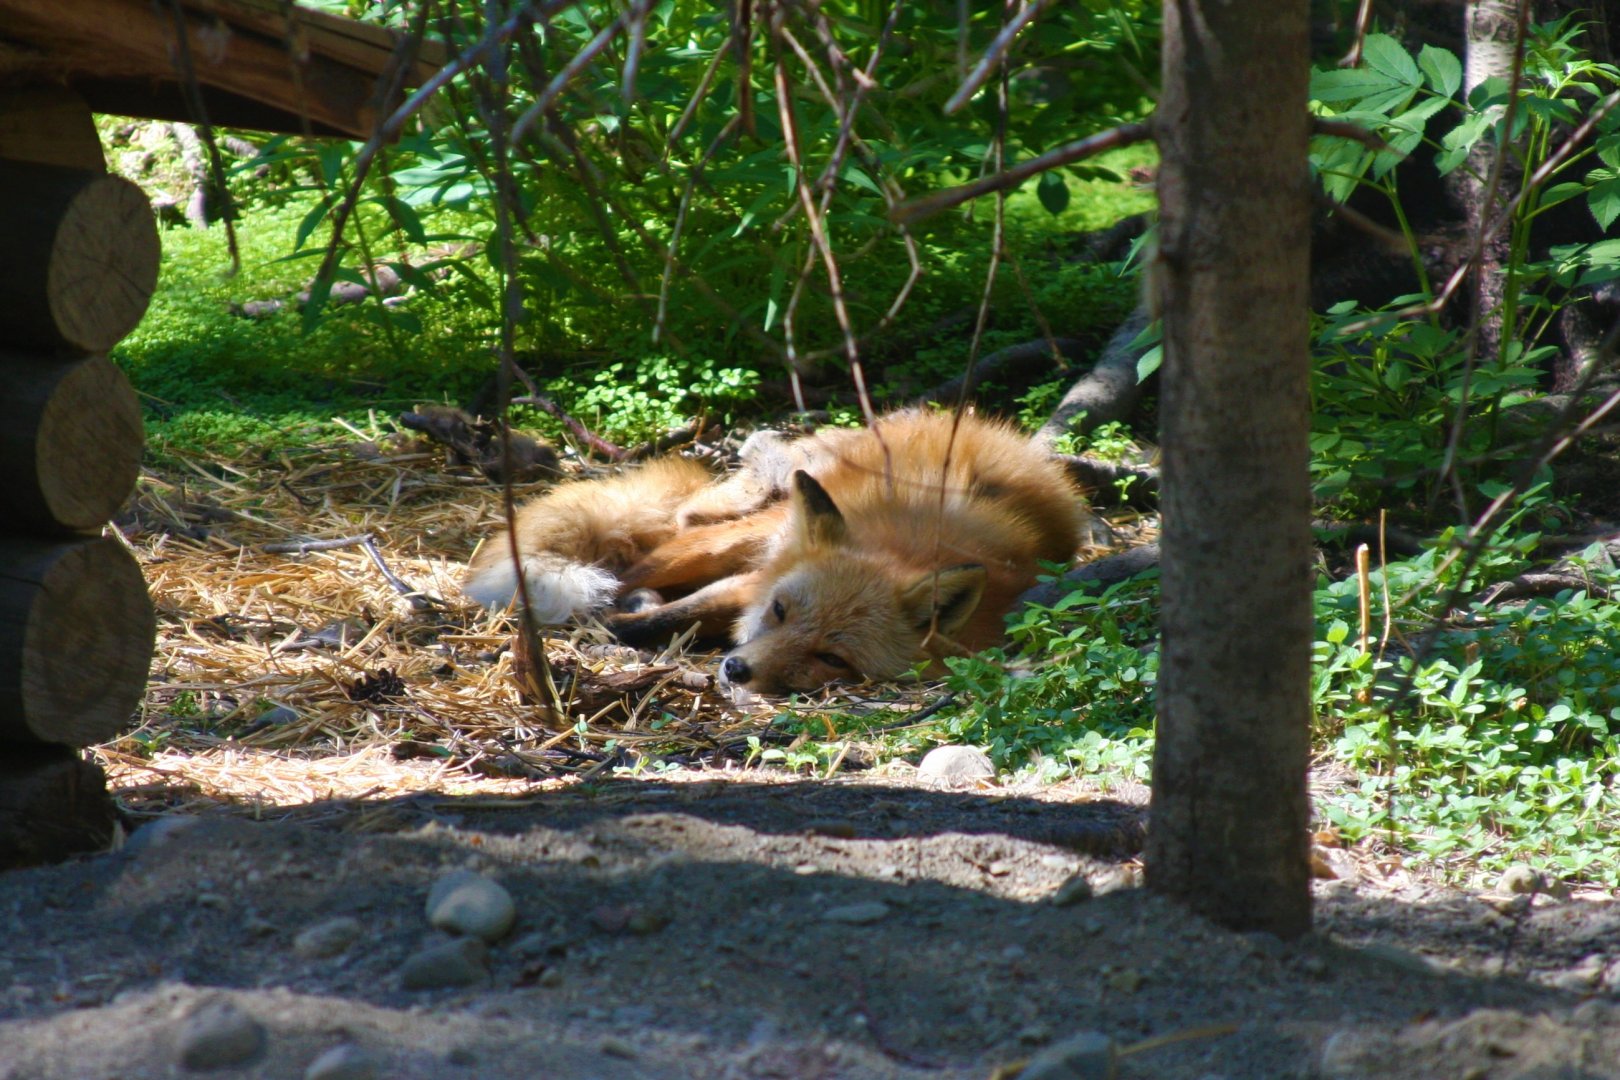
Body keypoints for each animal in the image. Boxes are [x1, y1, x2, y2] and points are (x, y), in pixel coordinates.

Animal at [463, 409, 1087, 694]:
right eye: (782, 612)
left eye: (833, 658)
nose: (736, 669)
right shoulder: (755, 582)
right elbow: (671, 615)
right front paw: (611, 632)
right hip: (735, 538)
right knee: (637, 566)